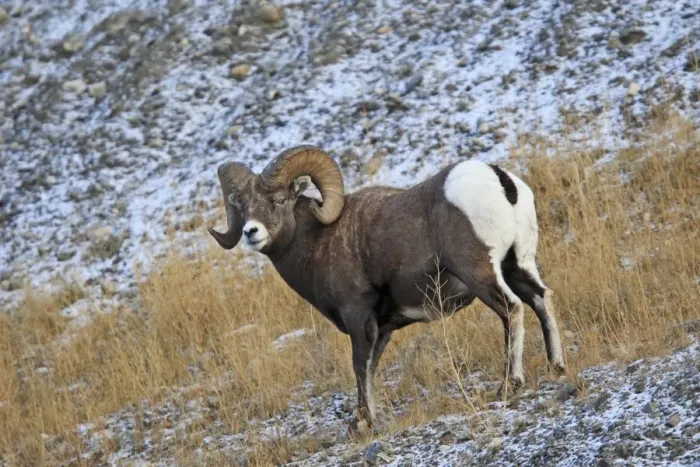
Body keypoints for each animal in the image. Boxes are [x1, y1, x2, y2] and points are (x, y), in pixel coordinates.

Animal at [207, 145, 566, 433]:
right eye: (243, 208)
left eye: (280, 200)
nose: (251, 233)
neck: (320, 241)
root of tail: (499, 179)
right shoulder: (382, 328)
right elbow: (371, 368)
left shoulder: (358, 317)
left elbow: (359, 366)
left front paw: (364, 423)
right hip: (518, 264)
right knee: (541, 299)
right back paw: (557, 366)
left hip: (481, 272)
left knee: (512, 309)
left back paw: (509, 385)